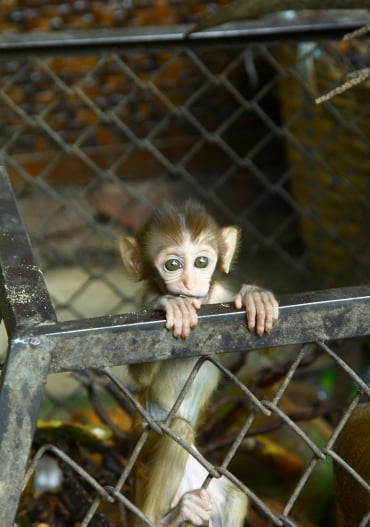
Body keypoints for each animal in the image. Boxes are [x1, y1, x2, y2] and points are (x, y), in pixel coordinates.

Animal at [120, 200, 278, 524]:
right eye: (172, 265)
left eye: (202, 262)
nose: (190, 282)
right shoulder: (144, 299)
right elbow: (140, 372)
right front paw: (170, 304)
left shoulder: (220, 295)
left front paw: (256, 297)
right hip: (145, 439)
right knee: (177, 430)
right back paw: (162, 518)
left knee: (235, 498)